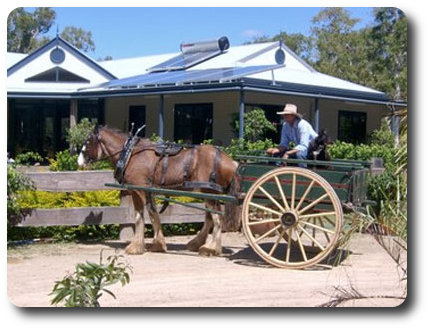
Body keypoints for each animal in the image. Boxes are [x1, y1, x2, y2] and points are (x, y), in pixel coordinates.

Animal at [77, 125, 239, 256]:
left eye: (88, 141)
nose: (79, 162)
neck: (131, 153)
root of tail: (231, 161)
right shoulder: (148, 190)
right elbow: (153, 214)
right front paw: (158, 244)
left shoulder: (137, 190)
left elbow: (139, 217)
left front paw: (135, 247)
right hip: (209, 193)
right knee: (210, 217)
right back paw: (198, 243)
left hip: (209, 192)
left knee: (217, 218)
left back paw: (210, 248)